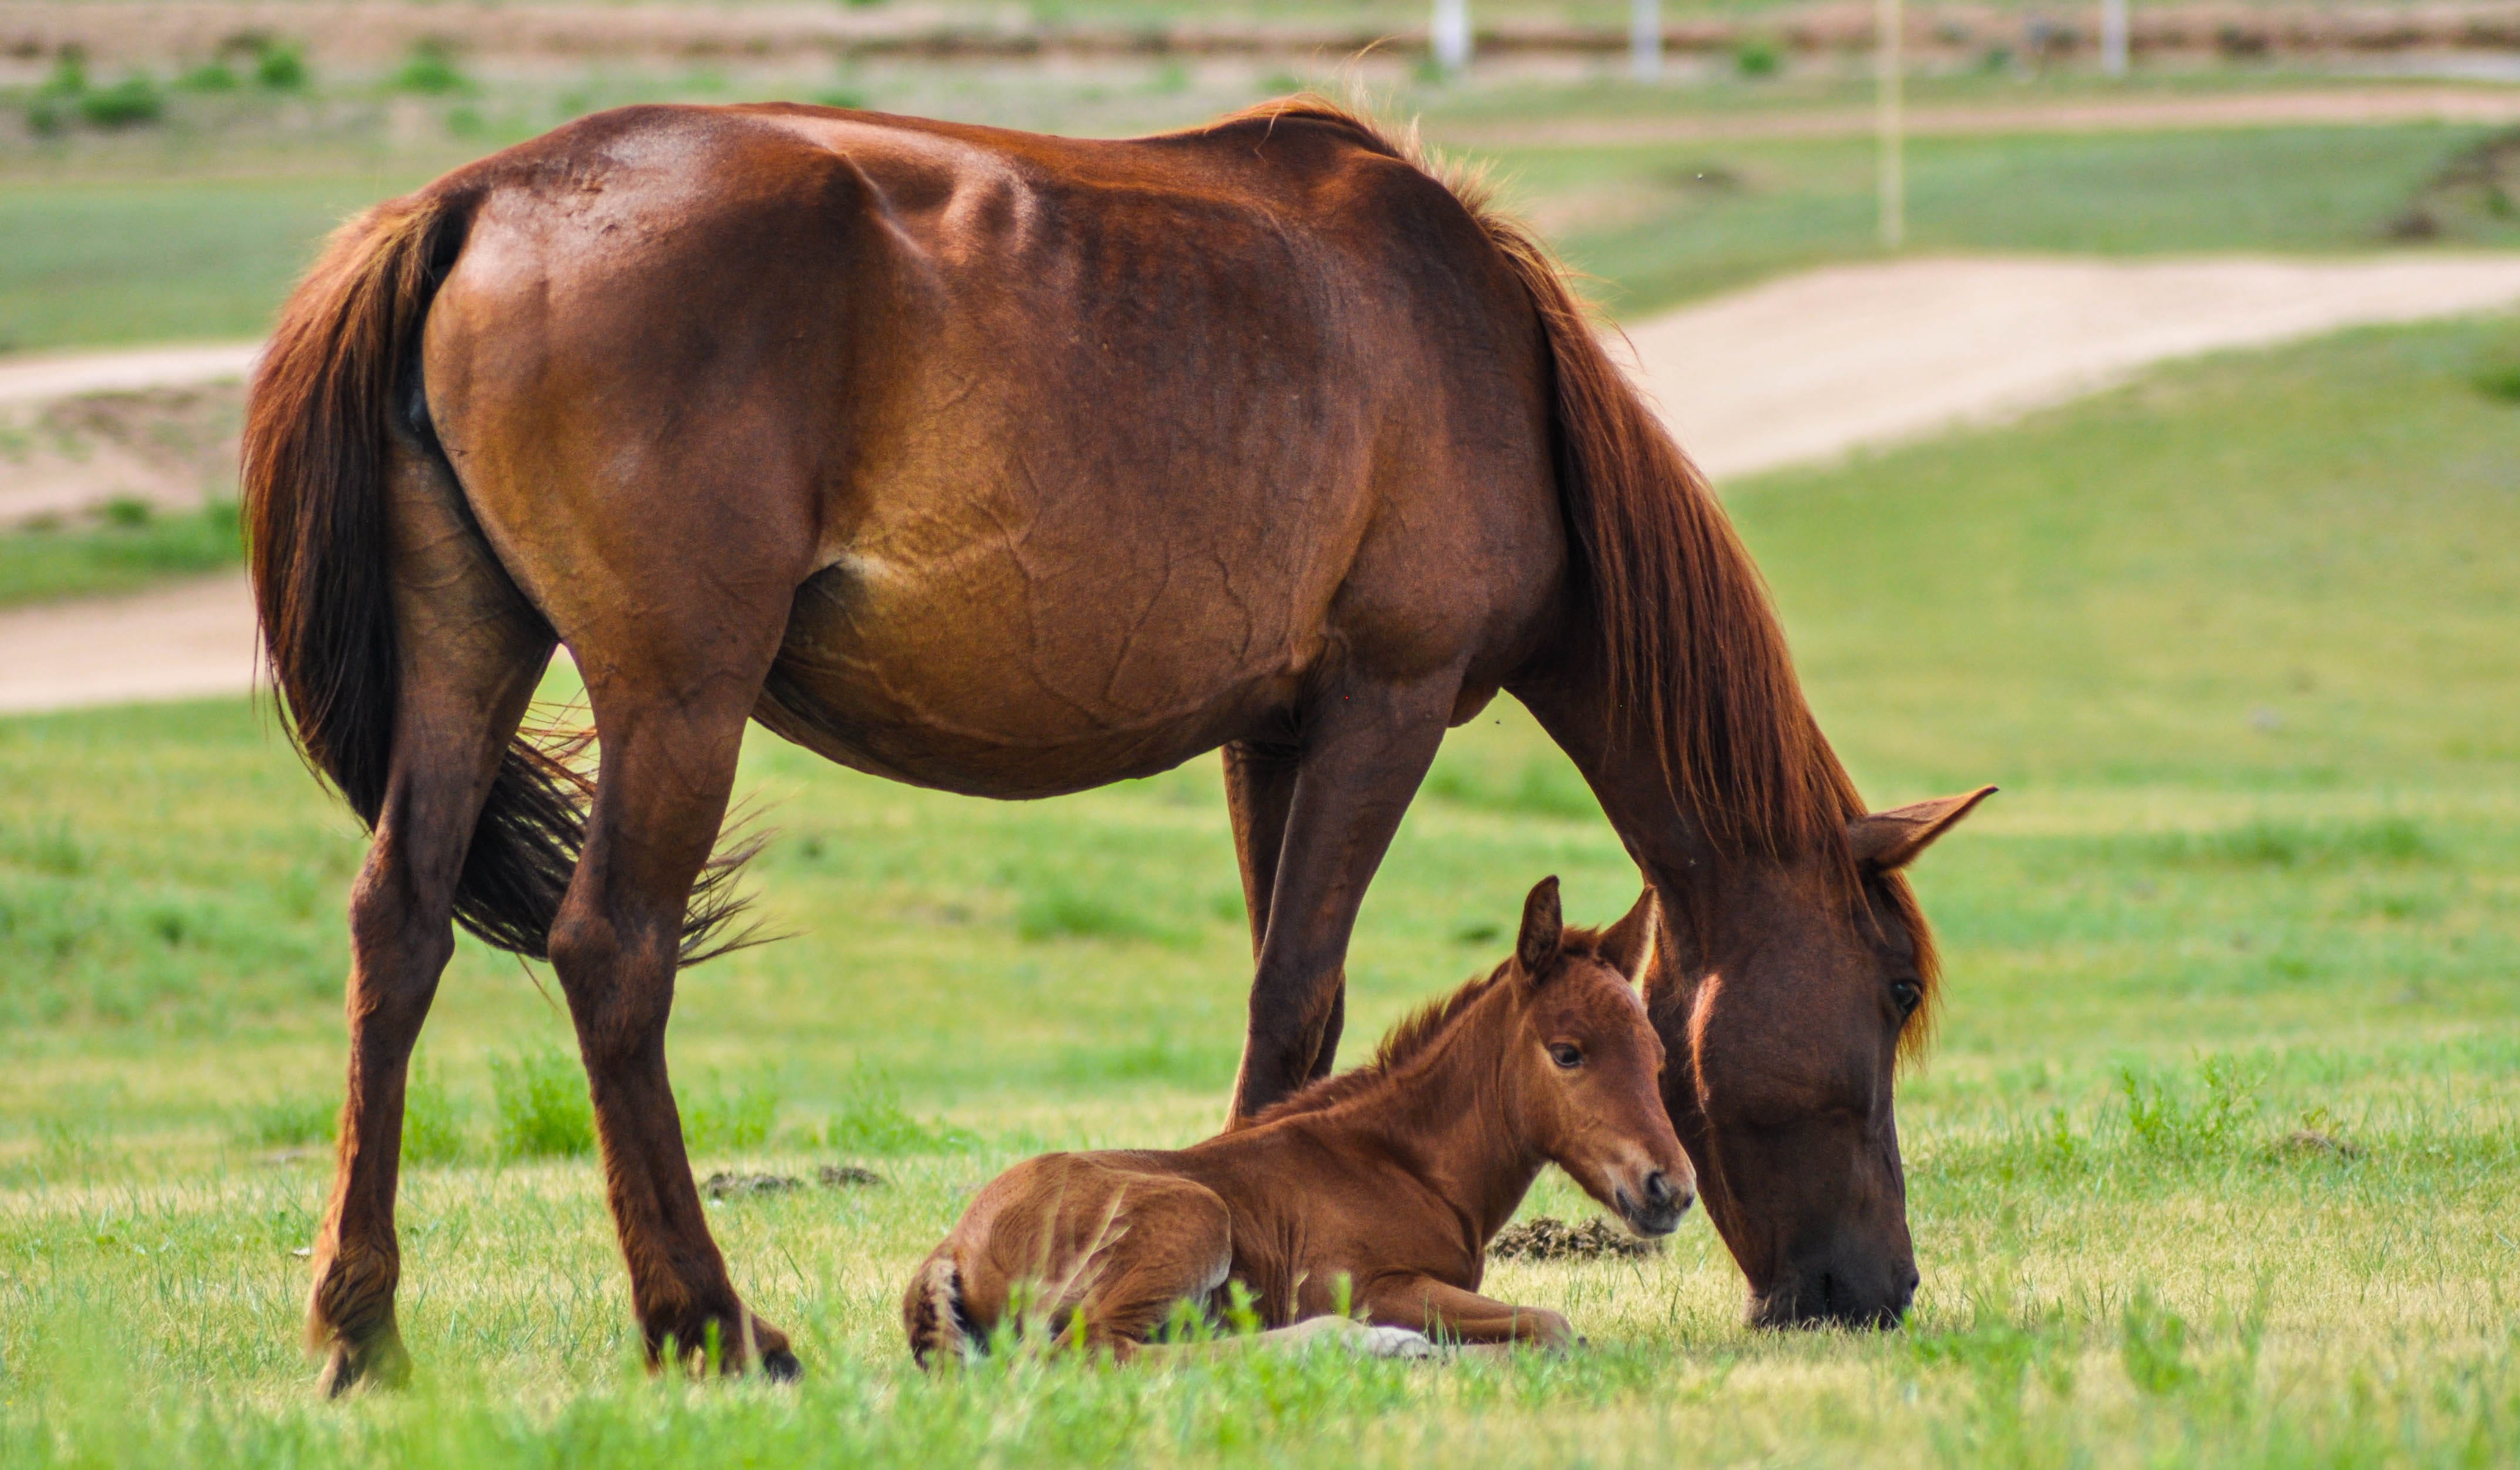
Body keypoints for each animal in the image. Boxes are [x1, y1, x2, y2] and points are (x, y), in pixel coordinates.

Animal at [904, 878, 1688, 1364]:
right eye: (1567, 1053)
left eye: (1656, 1057)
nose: (1671, 1191)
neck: (1405, 1165)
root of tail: (953, 1246)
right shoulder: (1366, 1285)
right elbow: (1551, 1326)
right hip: (1193, 1217)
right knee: (1099, 1351)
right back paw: (1365, 1346)